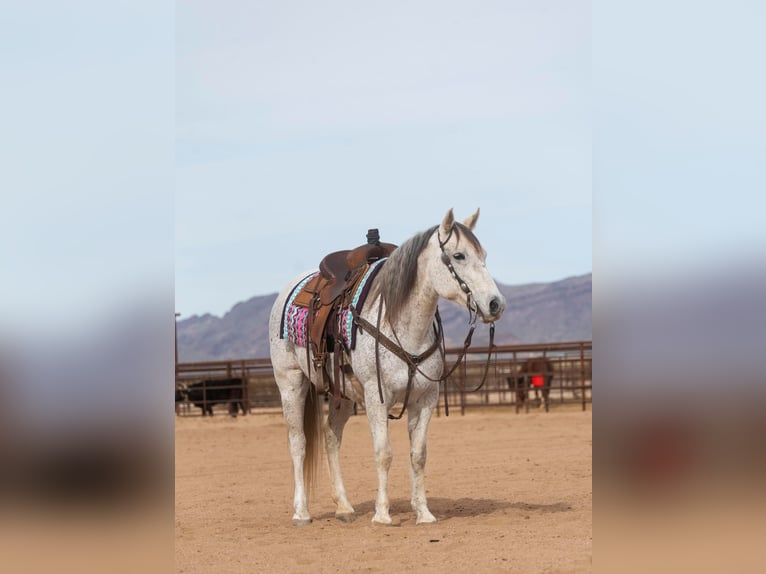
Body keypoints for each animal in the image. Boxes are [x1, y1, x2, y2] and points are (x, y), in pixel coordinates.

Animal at [268, 209, 508, 528]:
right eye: (459, 255)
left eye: (484, 255)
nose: (495, 304)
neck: (404, 327)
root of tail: (289, 290)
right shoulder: (376, 397)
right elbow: (383, 453)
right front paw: (382, 514)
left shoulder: (425, 399)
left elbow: (418, 455)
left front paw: (424, 513)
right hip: (291, 383)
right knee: (298, 443)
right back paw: (301, 513)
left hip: (343, 395)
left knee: (331, 436)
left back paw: (344, 507)